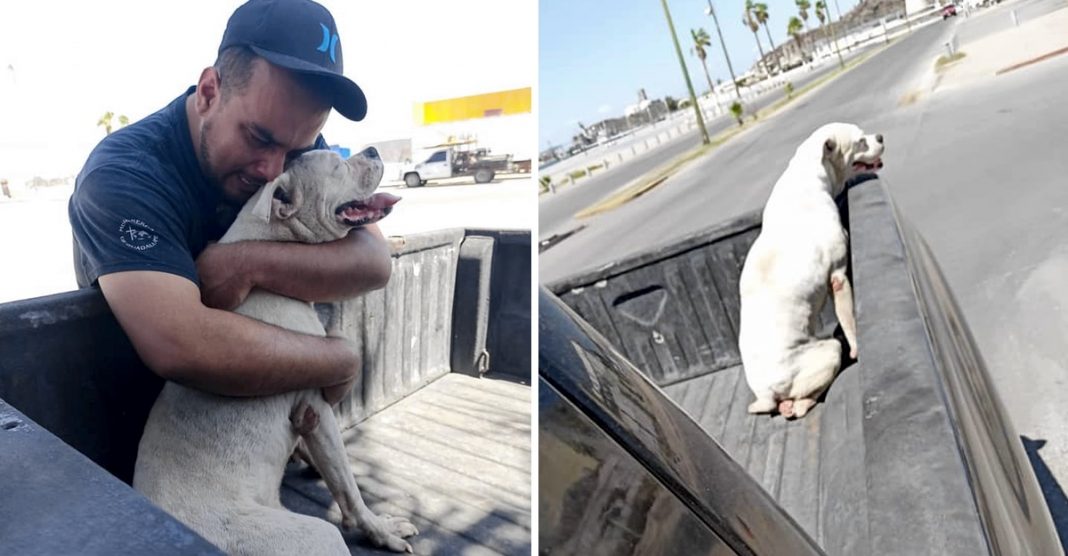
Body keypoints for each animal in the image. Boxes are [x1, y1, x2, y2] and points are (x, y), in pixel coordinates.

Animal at [132, 146, 416, 550]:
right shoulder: (317, 406)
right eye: (336, 165)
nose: (374, 150)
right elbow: (347, 483)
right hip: (316, 535)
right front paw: (380, 529)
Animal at [739, 123, 880, 418]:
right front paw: (858, 347)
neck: (807, 176)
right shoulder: (838, 277)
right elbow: (849, 320)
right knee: (803, 402)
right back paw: (799, 404)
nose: (881, 137)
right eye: (860, 142)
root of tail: (766, 394)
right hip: (830, 351)